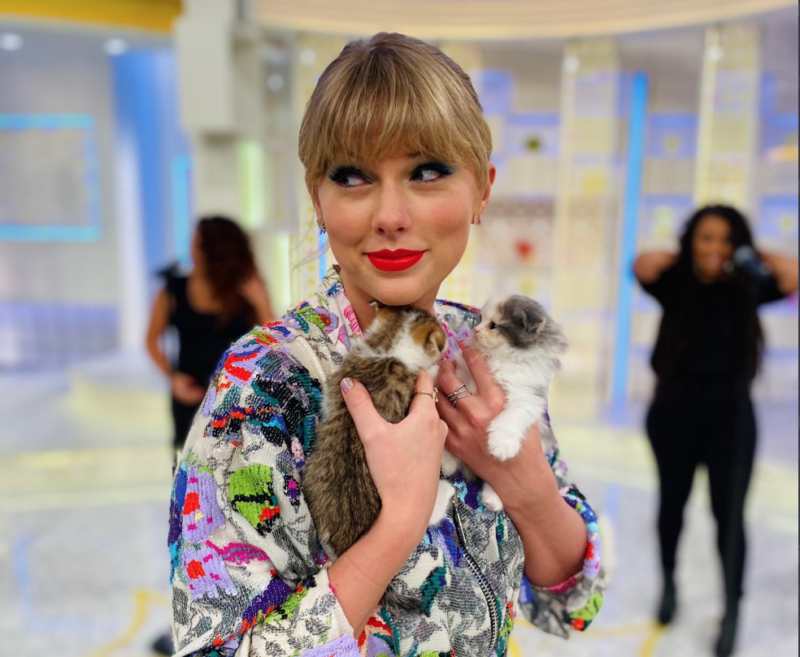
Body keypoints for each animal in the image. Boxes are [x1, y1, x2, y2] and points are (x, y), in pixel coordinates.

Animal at [438, 295, 568, 513]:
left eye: (493, 326)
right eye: (480, 319)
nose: (476, 330)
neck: (500, 359)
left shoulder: (527, 397)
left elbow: (512, 418)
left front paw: (501, 444)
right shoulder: (462, 374)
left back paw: (493, 498)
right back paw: (447, 461)